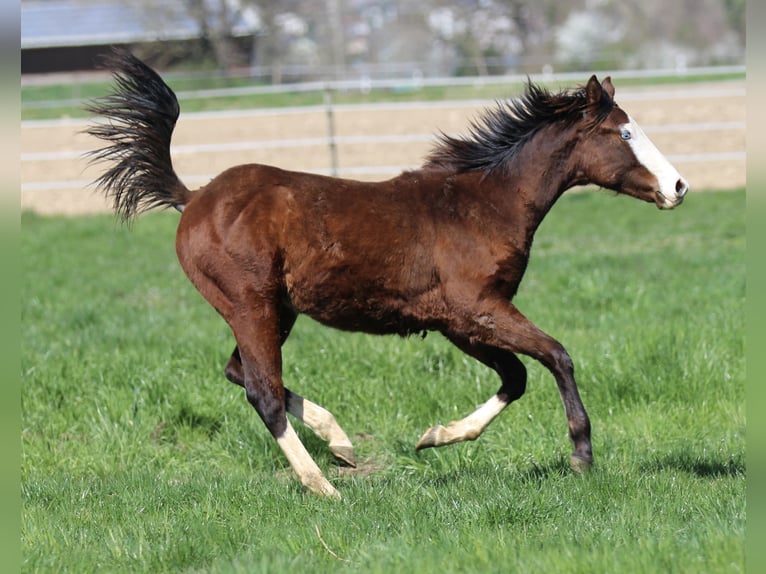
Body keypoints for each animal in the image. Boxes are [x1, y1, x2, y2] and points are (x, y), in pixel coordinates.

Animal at [86, 50, 688, 498]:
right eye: (624, 135)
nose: (678, 186)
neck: (483, 204)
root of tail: (193, 199)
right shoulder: (479, 308)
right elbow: (558, 355)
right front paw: (582, 455)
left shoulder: (458, 322)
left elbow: (515, 377)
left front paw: (435, 437)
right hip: (250, 304)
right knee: (263, 390)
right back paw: (323, 486)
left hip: (275, 310)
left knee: (242, 373)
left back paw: (340, 443)